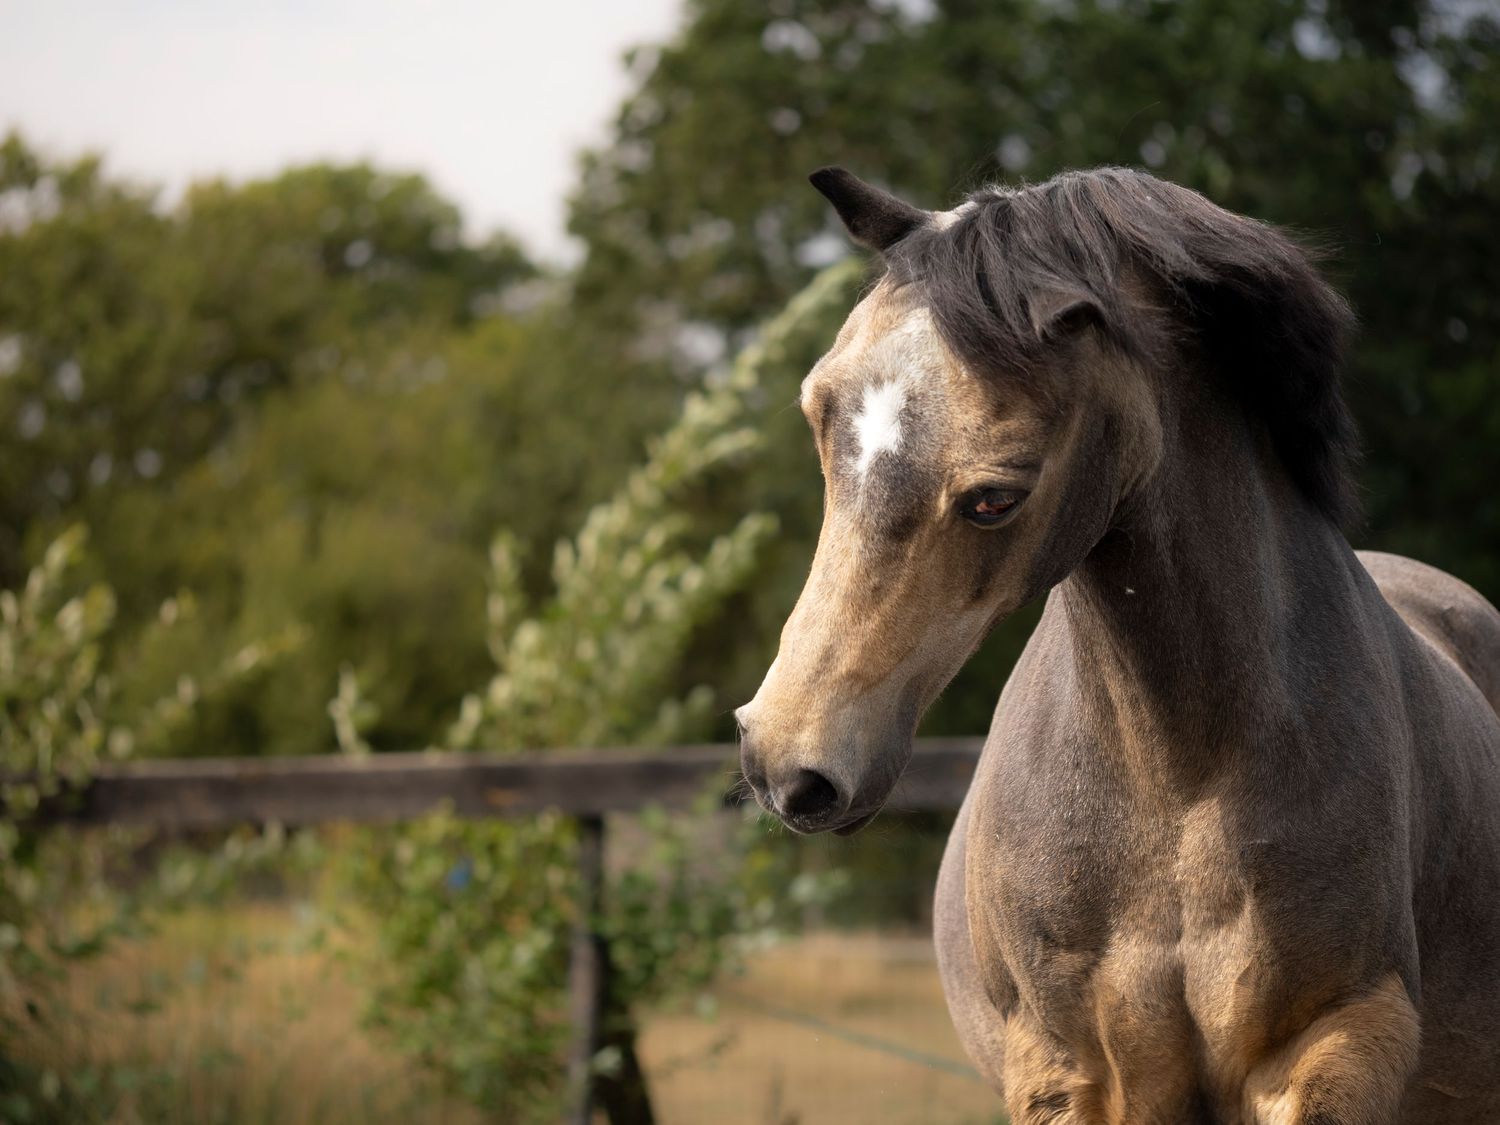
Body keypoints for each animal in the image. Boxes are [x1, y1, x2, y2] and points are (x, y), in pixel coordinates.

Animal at [734, 166, 1500, 1123]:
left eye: (996, 495)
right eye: (819, 411)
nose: (786, 762)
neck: (1177, 778)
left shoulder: (1338, 1043)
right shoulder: (1074, 1071)